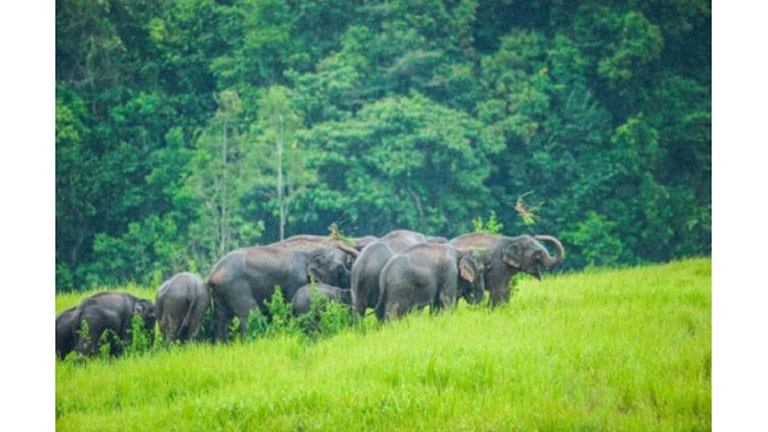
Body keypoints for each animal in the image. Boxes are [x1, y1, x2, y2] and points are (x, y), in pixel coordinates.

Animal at [206, 243, 358, 340]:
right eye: (340, 268)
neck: (308, 254)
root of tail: (213, 274)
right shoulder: (294, 281)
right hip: (237, 288)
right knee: (249, 315)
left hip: (222, 293)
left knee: (221, 320)